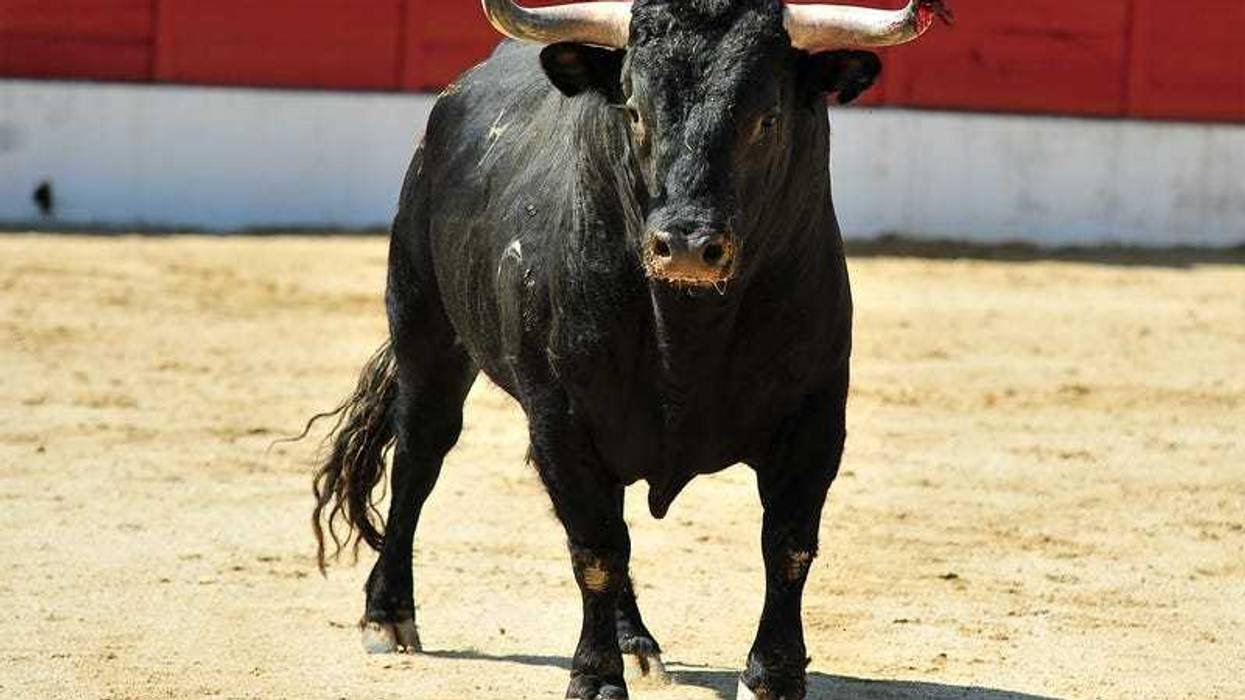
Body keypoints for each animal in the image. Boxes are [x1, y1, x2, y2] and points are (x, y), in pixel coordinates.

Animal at [308, 1, 949, 698]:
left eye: (767, 118)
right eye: (636, 111)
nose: (688, 245)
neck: (687, 332)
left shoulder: (815, 415)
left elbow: (787, 546)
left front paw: (772, 676)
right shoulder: (560, 417)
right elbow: (595, 550)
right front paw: (594, 676)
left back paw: (637, 641)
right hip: (424, 328)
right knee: (421, 456)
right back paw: (388, 615)